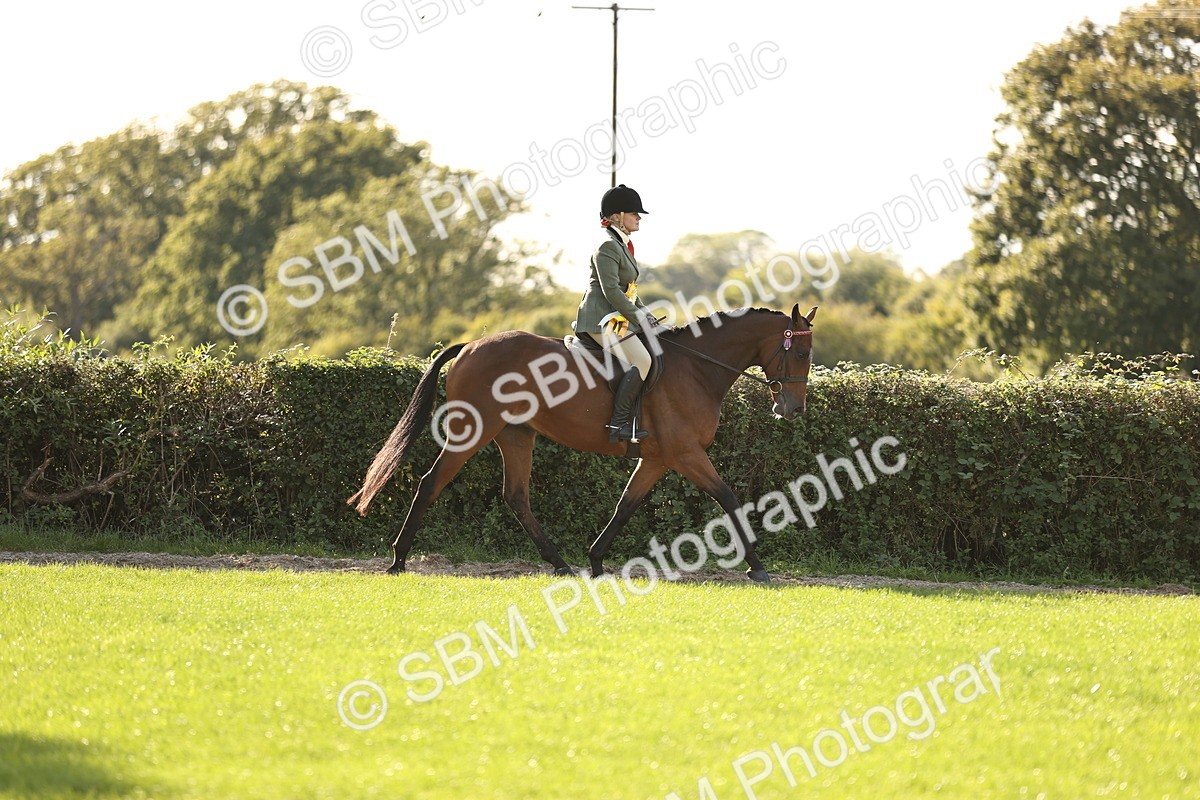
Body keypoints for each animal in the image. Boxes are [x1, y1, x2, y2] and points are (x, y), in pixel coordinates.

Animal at [349, 303, 817, 583]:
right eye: (800, 354)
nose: (793, 410)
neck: (697, 369)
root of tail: (470, 347)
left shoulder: (657, 459)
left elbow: (625, 505)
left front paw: (595, 559)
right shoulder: (686, 454)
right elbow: (729, 498)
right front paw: (759, 568)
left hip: (516, 435)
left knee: (516, 496)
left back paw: (560, 563)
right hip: (474, 431)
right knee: (431, 483)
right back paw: (398, 560)